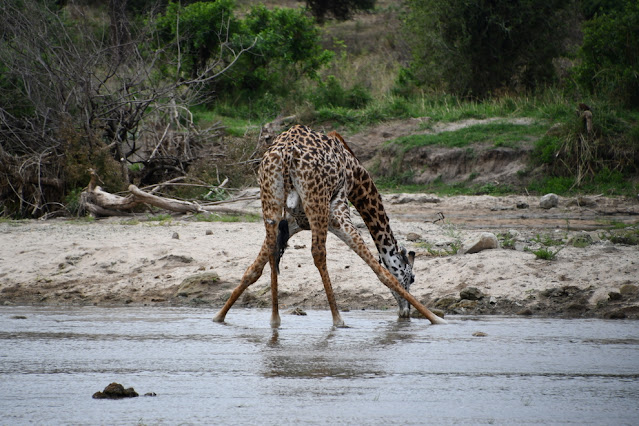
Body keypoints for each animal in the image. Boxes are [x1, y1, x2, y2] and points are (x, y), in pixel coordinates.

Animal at [212, 125, 448, 328]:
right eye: (412, 278)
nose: (404, 312)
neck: (356, 175)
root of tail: (286, 154)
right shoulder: (338, 211)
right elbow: (380, 270)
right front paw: (436, 318)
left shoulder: (294, 222)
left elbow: (253, 269)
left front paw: (219, 316)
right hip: (316, 202)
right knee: (318, 253)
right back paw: (338, 319)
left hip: (271, 202)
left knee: (272, 250)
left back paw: (275, 319)